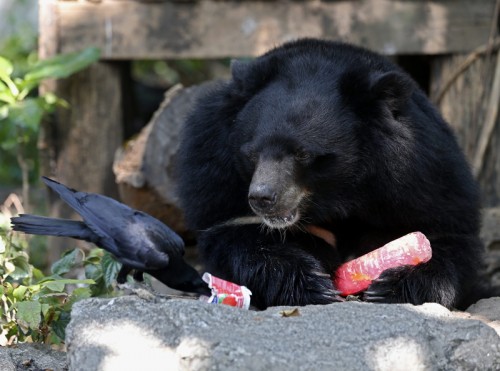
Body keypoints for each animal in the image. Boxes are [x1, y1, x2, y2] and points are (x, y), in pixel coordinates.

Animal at [178, 38, 486, 310]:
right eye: (252, 153)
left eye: (303, 154)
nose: (261, 198)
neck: (339, 196)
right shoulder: (215, 177)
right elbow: (238, 237)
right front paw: (316, 285)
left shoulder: (424, 176)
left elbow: (444, 239)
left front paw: (389, 287)